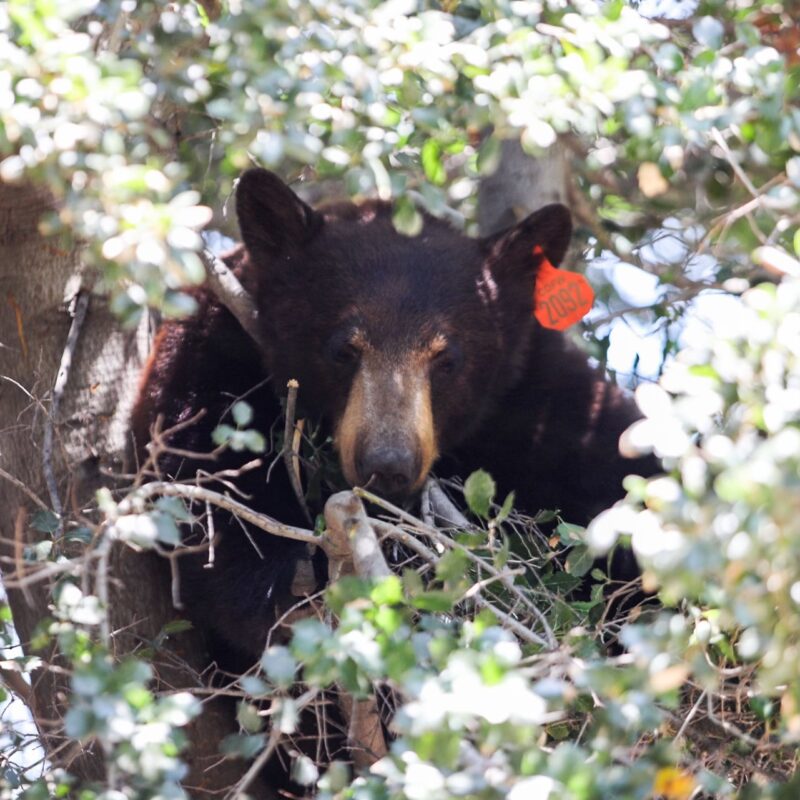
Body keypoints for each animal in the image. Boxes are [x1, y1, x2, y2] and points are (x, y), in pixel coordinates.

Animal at [131, 167, 656, 668]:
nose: (387, 464)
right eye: (344, 349)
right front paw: (289, 581)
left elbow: (624, 482)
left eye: (447, 359)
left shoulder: (544, 404)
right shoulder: (213, 350)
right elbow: (200, 479)